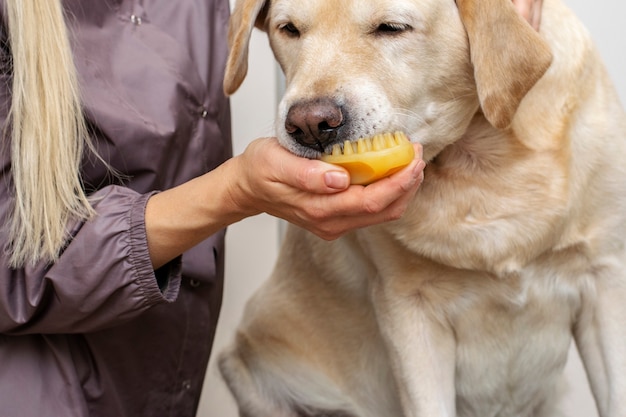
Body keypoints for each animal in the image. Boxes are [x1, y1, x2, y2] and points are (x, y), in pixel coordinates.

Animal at [218, 0, 624, 414]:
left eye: (391, 27)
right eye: (289, 30)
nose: (310, 124)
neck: (483, 161)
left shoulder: (606, 282)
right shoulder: (409, 311)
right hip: (243, 368)